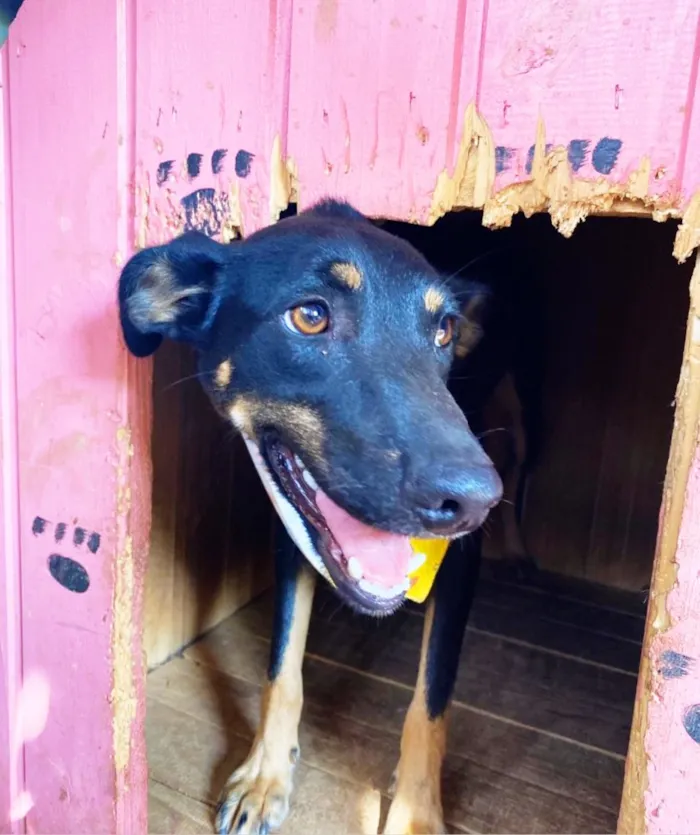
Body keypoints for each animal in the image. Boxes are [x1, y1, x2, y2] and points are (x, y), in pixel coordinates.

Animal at [117, 201, 540, 835]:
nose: (472, 502)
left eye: (443, 331)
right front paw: (266, 775)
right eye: (310, 316)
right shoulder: (293, 526)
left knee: (517, 460)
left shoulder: (459, 561)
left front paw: (415, 815)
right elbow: (282, 667)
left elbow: (430, 702)